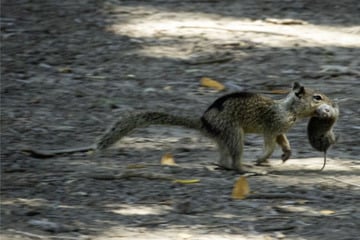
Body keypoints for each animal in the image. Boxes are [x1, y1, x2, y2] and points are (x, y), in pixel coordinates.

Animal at [23, 82, 334, 172]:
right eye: (317, 97)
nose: (330, 102)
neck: (289, 109)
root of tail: (204, 122)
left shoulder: (281, 129)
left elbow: (283, 141)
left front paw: (286, 154)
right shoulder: (271, 126)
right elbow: (270, 141)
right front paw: (264, 158)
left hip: (225, 137)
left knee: (222, 158)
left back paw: (223, 165)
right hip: (234, 134)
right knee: (233, 159)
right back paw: (246, 168)